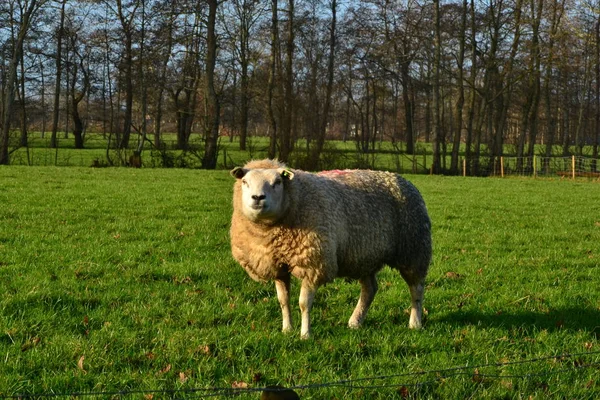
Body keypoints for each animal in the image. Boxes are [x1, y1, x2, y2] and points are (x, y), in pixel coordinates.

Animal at [230, 158, 432, 340]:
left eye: (277, 182)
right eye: (245, 182)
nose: (257, 198)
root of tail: (398, 178)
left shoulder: (314, 264)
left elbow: (304, 304)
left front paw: (305, 335)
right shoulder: (277, 266)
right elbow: (283, 300)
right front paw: (287, 329)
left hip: (414, 249)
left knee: (416, 289)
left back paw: (415, 323)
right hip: (364, 257)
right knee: (370, 289)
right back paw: (355, 321)